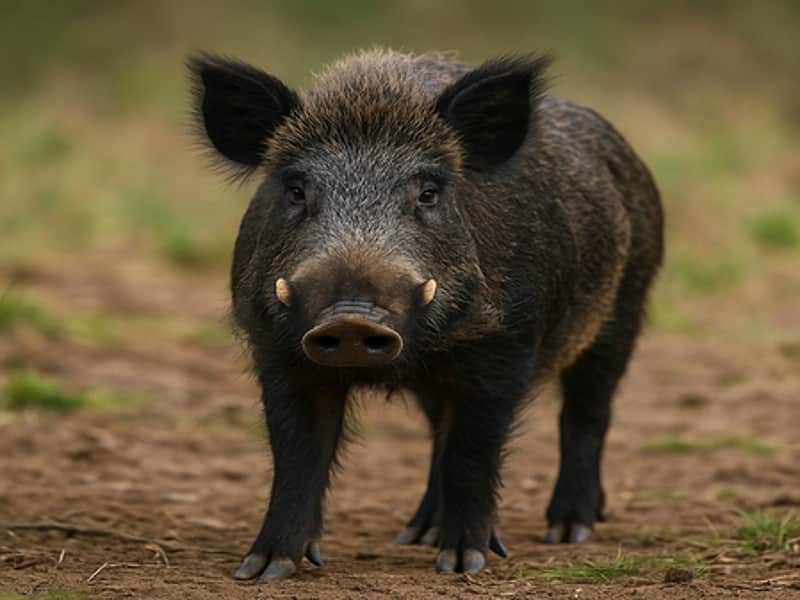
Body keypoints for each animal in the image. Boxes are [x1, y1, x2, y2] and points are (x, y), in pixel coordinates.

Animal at [188, 49, 663, 580]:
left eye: (429, 193)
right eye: (295, 190)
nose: (351, 318)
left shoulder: (506, 344)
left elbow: (473, 450)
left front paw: (463, 564)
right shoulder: (277, 347)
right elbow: (297, 455)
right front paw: (261, 569)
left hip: (625, 308)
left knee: (586, 412)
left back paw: (569, 530)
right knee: (440, 430)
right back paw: (416, 534)